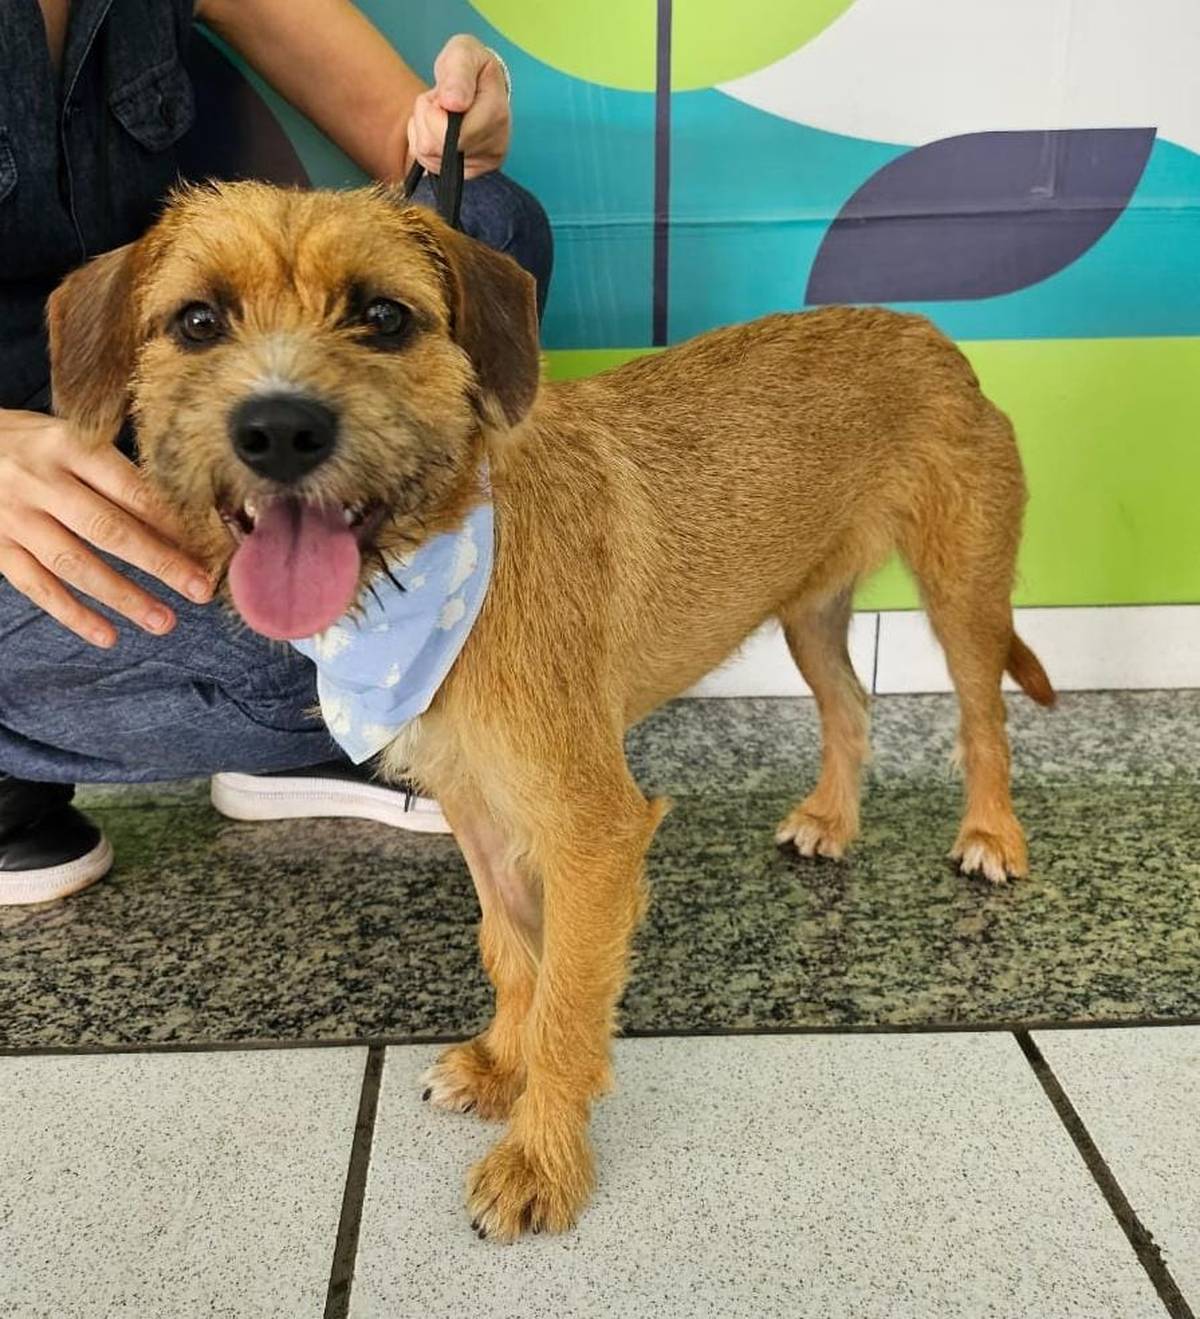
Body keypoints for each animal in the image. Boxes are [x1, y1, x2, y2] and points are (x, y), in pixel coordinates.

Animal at [47, 182, 1055, 1241]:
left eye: (384, 316)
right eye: (199, 322)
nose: (279, 430)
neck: (444, 556)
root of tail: (928, 331)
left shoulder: (593, 827)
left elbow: (571, 996)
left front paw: (541, 1159)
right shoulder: (477, 807)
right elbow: (516, 953)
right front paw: (501, 1063)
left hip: (962, 591)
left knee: (984, 717)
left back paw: (991, 834)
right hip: (807, 608)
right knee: (851, 703)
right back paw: (832, 816)